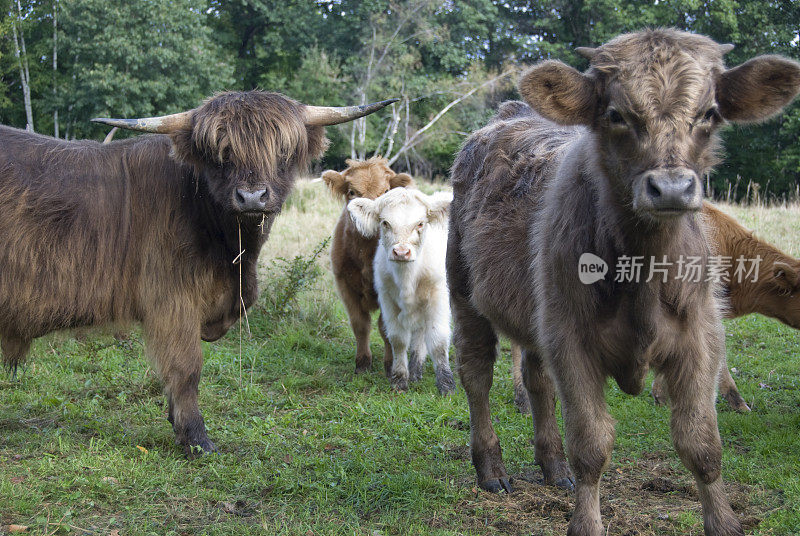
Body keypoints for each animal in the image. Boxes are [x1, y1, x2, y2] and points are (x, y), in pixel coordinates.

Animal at [1, 90, 396, 454]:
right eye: (221, 153)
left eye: (281, 151)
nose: (251, 198)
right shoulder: (172, 301)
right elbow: (186, 368)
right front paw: (195, 438)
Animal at [322, 157, 416, 374]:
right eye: (352, 192)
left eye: (386, 191)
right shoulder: (344, 285)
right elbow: (360, 324)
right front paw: (363, 362)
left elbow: (386, 327)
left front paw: (390, 364)